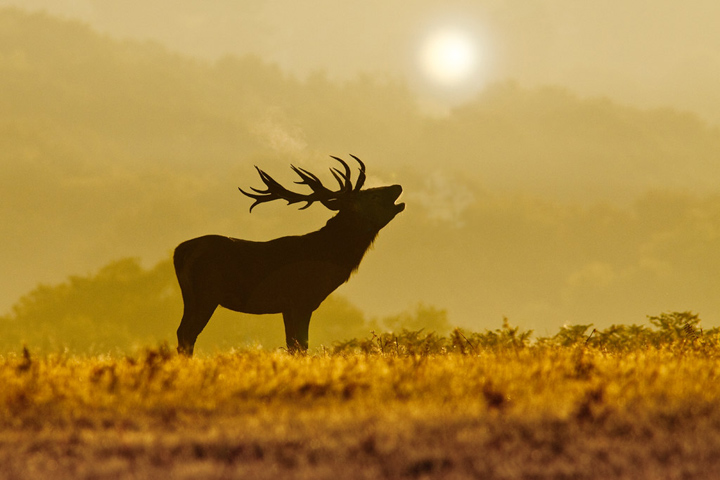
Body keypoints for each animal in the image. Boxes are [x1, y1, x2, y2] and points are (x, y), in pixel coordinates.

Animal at [173, 155, 404, 355]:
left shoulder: (287, 306)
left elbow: (292, 345)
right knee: (188, 334)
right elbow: (301, 345)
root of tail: (180, 251)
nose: (397, 186)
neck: (329, 258)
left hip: (189, 296)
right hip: (206, 293)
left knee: (181, 332)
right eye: (372, 195)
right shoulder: (302, 299)